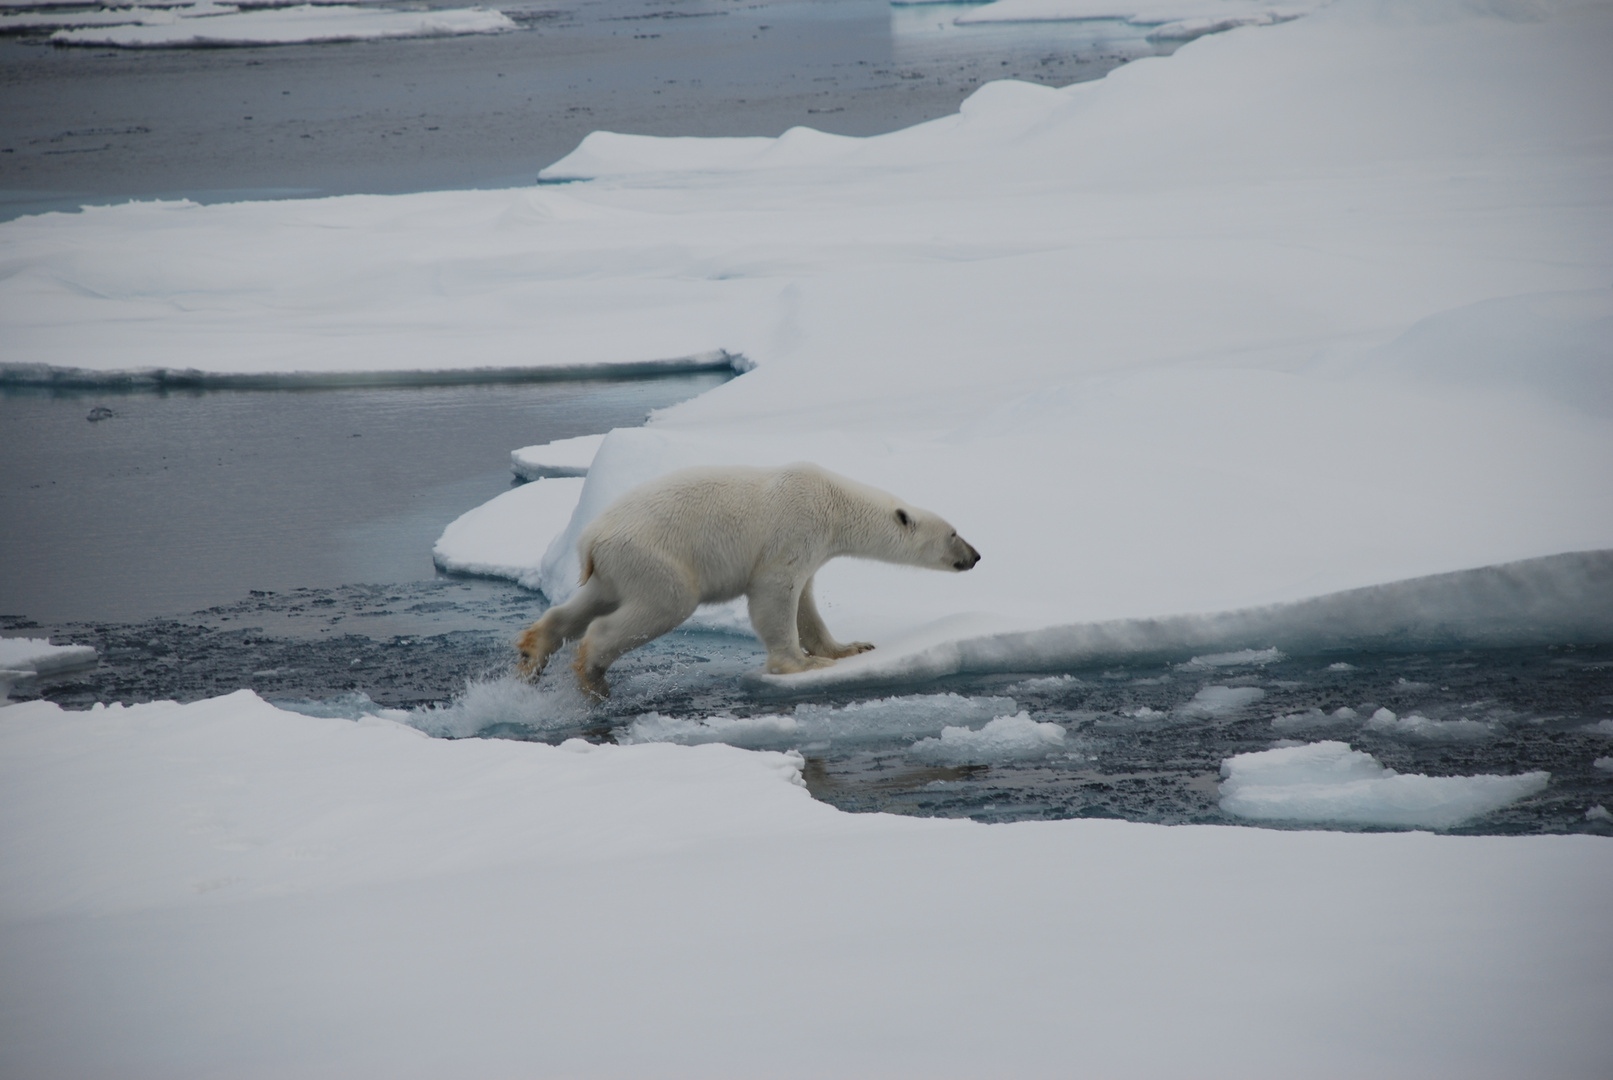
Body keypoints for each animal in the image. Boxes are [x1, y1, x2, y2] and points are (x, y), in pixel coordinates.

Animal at [512, 464, 980, 702]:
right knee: (662, 605)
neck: (834, 503)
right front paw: (803, 664)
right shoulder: (795, 528)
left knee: (586, 604)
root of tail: (590, 540)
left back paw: (533, 653)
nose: (975, 556)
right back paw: (592, 673)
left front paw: (850, 648)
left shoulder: (813, 546)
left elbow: (806, 601)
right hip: (655, 556)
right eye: (953, 533)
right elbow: (775, 593)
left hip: (615, 566)